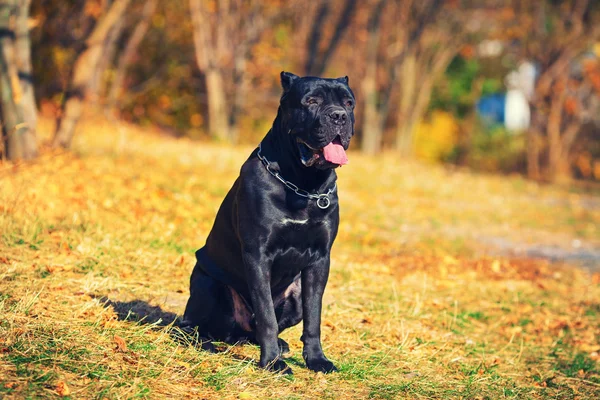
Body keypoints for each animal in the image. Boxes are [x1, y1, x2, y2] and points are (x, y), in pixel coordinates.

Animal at [180, 72, 354, 376]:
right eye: (312, 101)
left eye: (348, 103)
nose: (339, 116)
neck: (303, 184)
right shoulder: (257, 254)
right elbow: (266, 316)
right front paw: (273, 363)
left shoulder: (320, 259)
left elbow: (314, 315)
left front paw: (316, 360)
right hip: (208, 283)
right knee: (193, 325)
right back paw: (205, 342)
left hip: (293, 296)